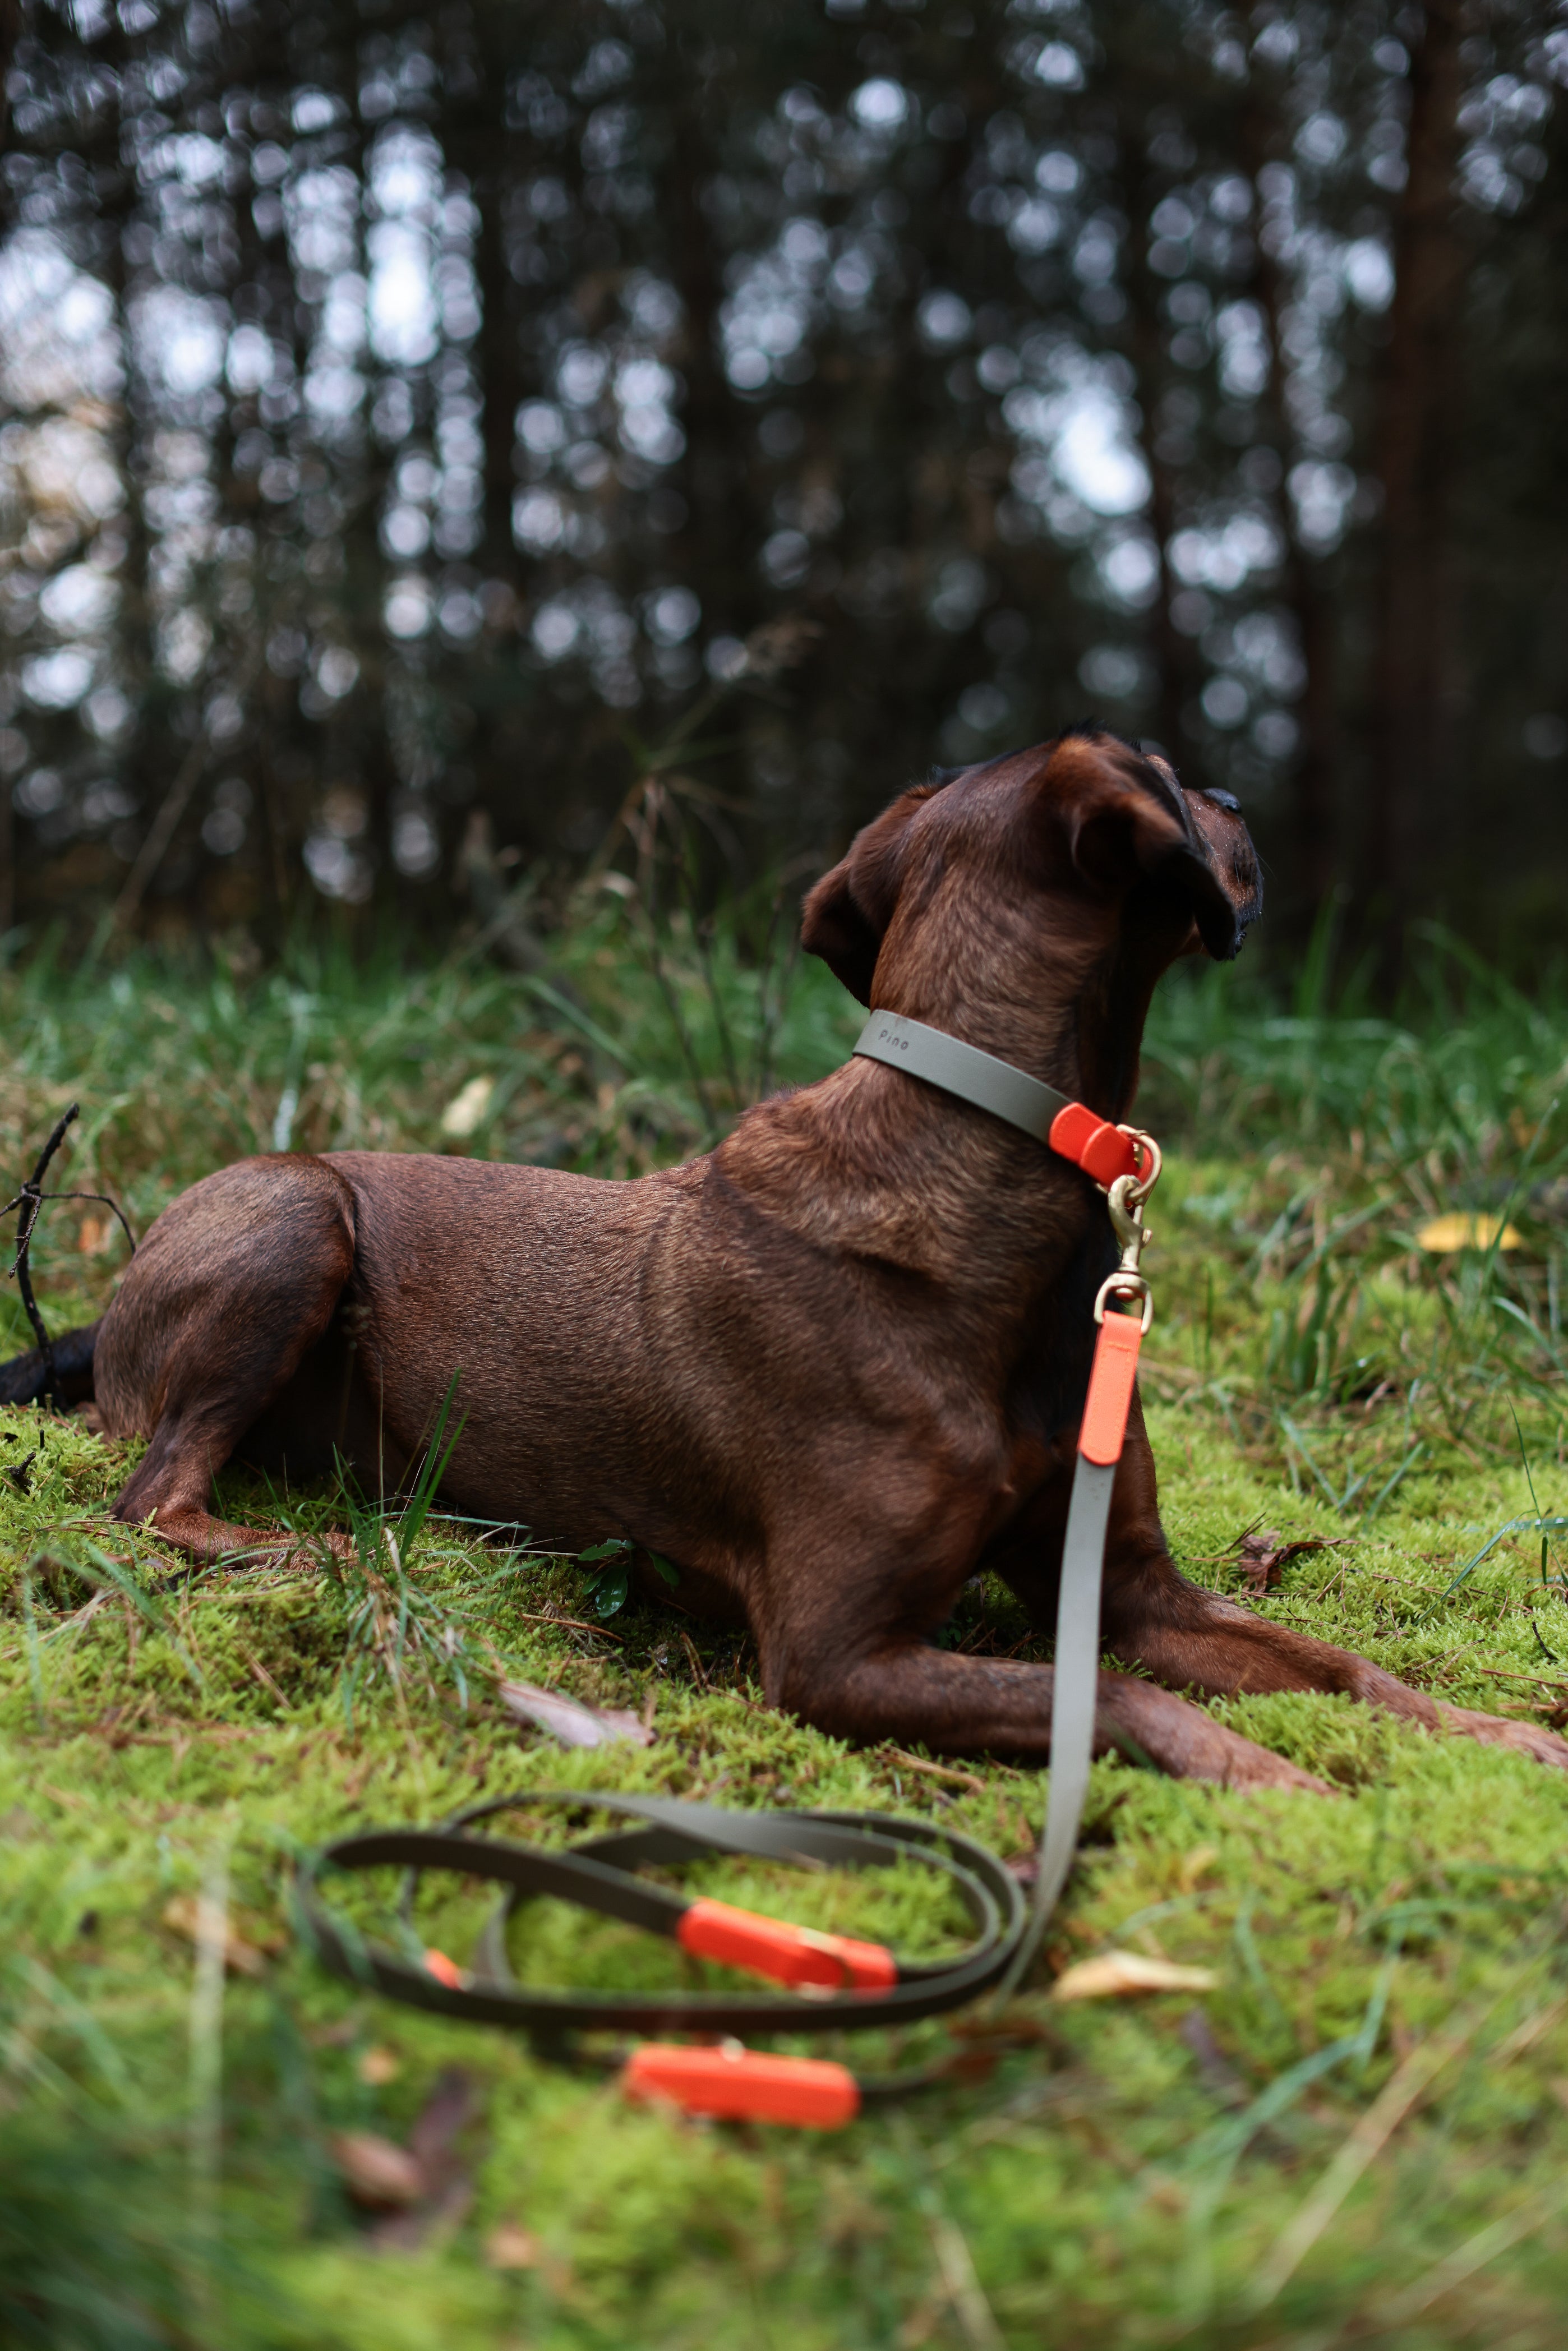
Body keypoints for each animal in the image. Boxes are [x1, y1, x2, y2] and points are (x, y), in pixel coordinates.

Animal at [12, 733, 1568, 1777]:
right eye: (1169, 774)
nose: (1238, 797)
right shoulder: (836, 1653)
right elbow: (1124, 1700)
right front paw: (1274, 1777)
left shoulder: (1131, 1590)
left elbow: (1337, 1659)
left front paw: (1495, 1735)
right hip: (296, 1216)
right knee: (151, 1502)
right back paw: (330, 1550)